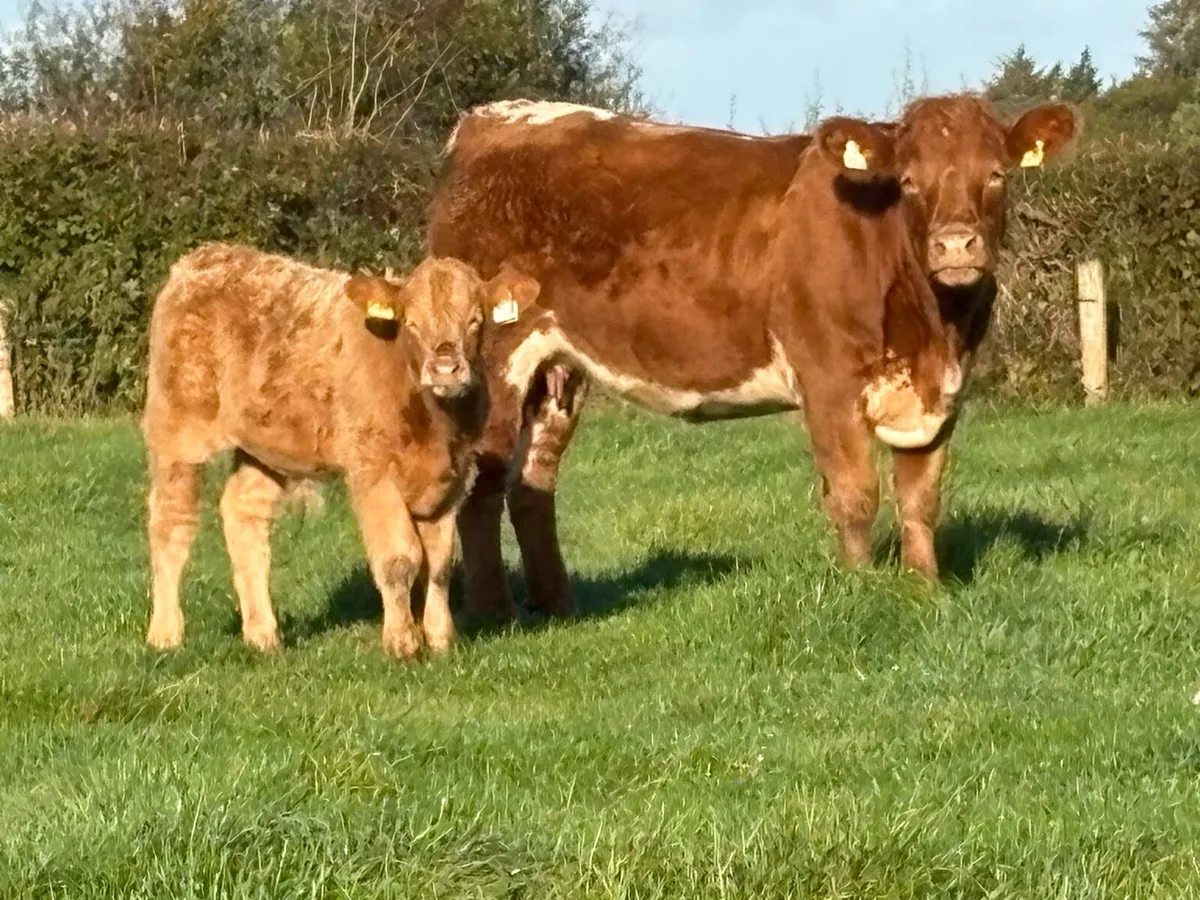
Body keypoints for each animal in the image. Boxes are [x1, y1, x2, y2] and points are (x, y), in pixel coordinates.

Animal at [140, 243, 537, 658]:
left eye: (475, 320)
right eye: (411, 323)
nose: (445, 368)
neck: (435, 424)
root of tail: (204, 257)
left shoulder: (452, 478)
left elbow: (440, 564)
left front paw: (442, 640)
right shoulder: (373, 472)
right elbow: (400, 558)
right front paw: (402, 642)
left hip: (267, 447)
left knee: (243, 512)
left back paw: (263, 636)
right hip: (178, 428)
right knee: (171, 522)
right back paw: (165, 635)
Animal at [427, 95, 1080, 622]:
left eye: (995, 174)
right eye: (909, 181)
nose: (955, 245)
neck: (934, 329)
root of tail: (494, 118)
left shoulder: (941, 393)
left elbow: (921, 498)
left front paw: (924, 589)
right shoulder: (828, 381)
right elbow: (855, 495)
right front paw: (863, 587)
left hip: (558, 368)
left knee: (532, 485)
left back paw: (557, 605)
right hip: (496, 361)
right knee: (483, 486)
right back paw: (494, 612)